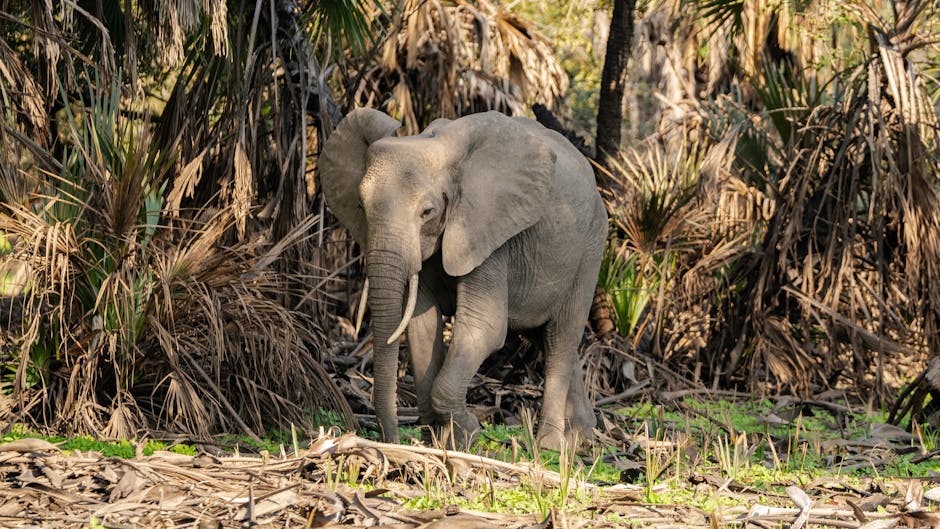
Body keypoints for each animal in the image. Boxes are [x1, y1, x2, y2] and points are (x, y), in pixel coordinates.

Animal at [318, 108, 607, 450]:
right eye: (361, 206)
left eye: (427, 212)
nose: (393, 441)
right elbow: (422, 325)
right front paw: (437, 439)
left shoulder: (488, 232)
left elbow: (486, 326)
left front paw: (466, 434)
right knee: (546, 337)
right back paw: (583, 437)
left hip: (591, 246)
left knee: (561, 337)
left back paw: (550, 446)